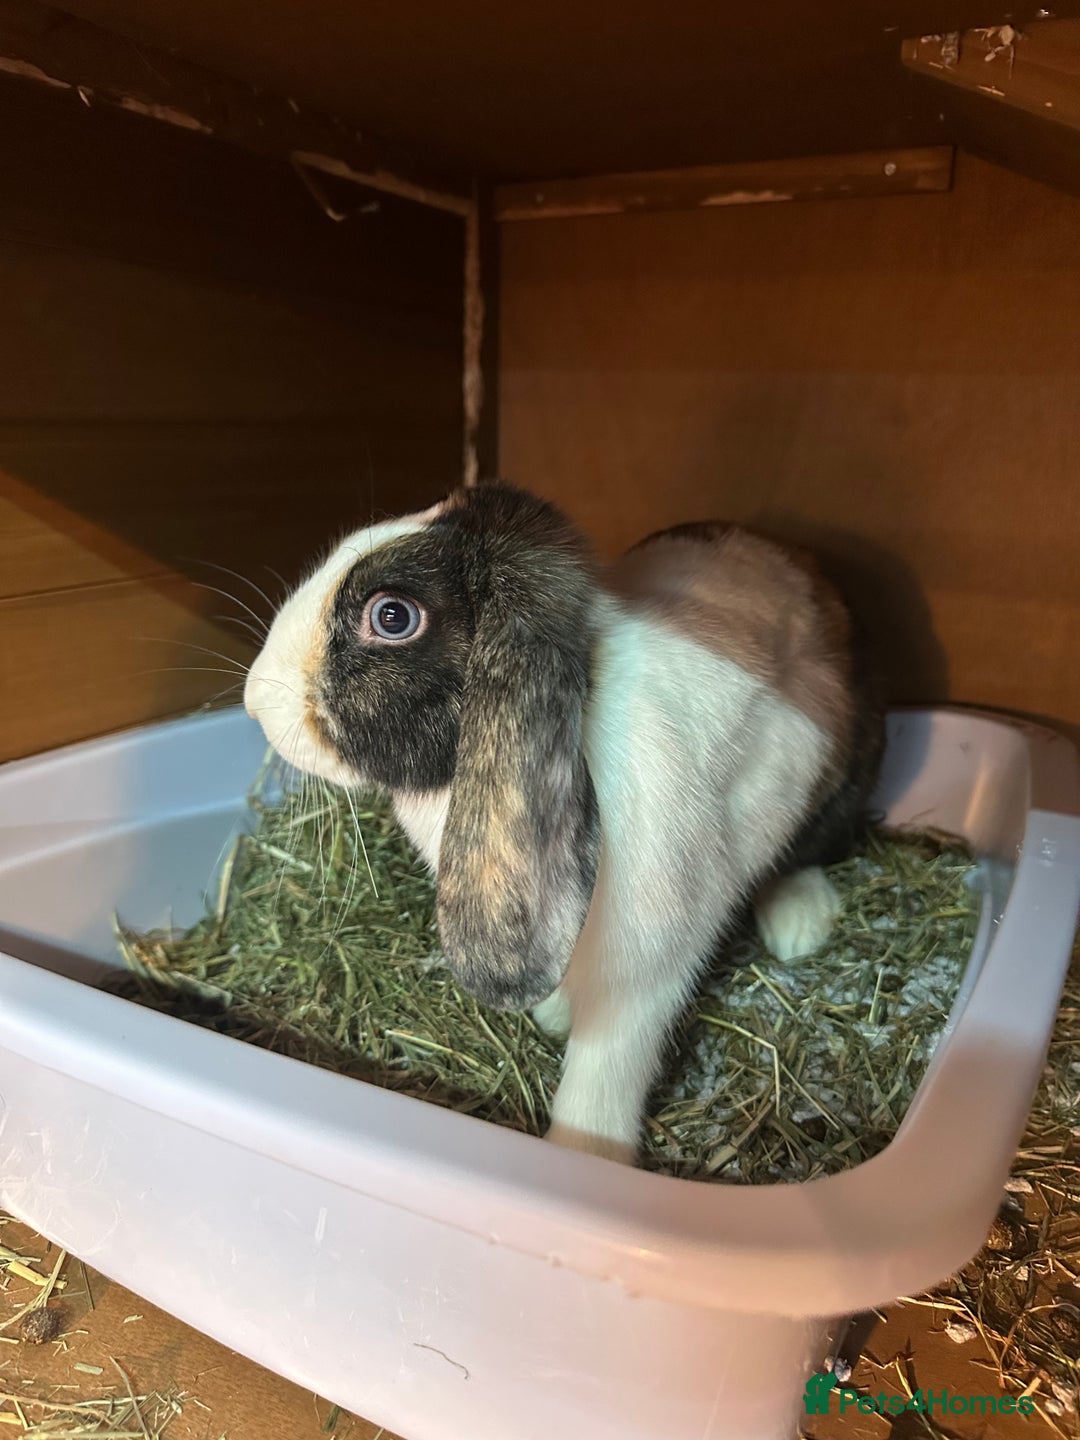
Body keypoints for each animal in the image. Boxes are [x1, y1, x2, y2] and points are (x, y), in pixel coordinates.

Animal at [244, 481, 884, 1165]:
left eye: (392, 617)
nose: (254, 701)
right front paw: (552, 1016)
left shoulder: (642, 971)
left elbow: (604, 1070)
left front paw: (585, 1155)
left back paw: (800, 926)